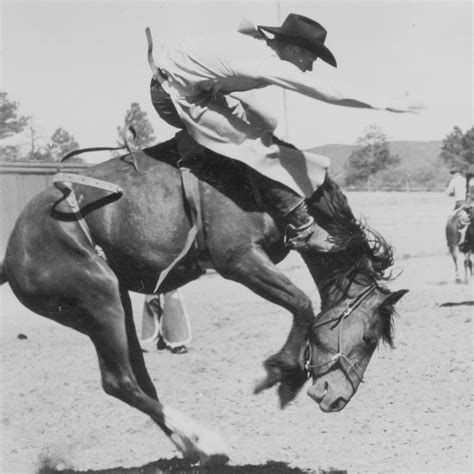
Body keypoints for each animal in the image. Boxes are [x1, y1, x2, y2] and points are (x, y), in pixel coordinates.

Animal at [0, 139, 408, 464]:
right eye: (369, 339)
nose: (336, 398)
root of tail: (12, 252)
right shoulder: (239, 260)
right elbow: (302, 305)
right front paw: (281, 375)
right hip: (99, 298)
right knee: (118, 382)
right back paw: (206, 439)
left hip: (116, 303)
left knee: (139, 380)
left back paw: (192, 446)